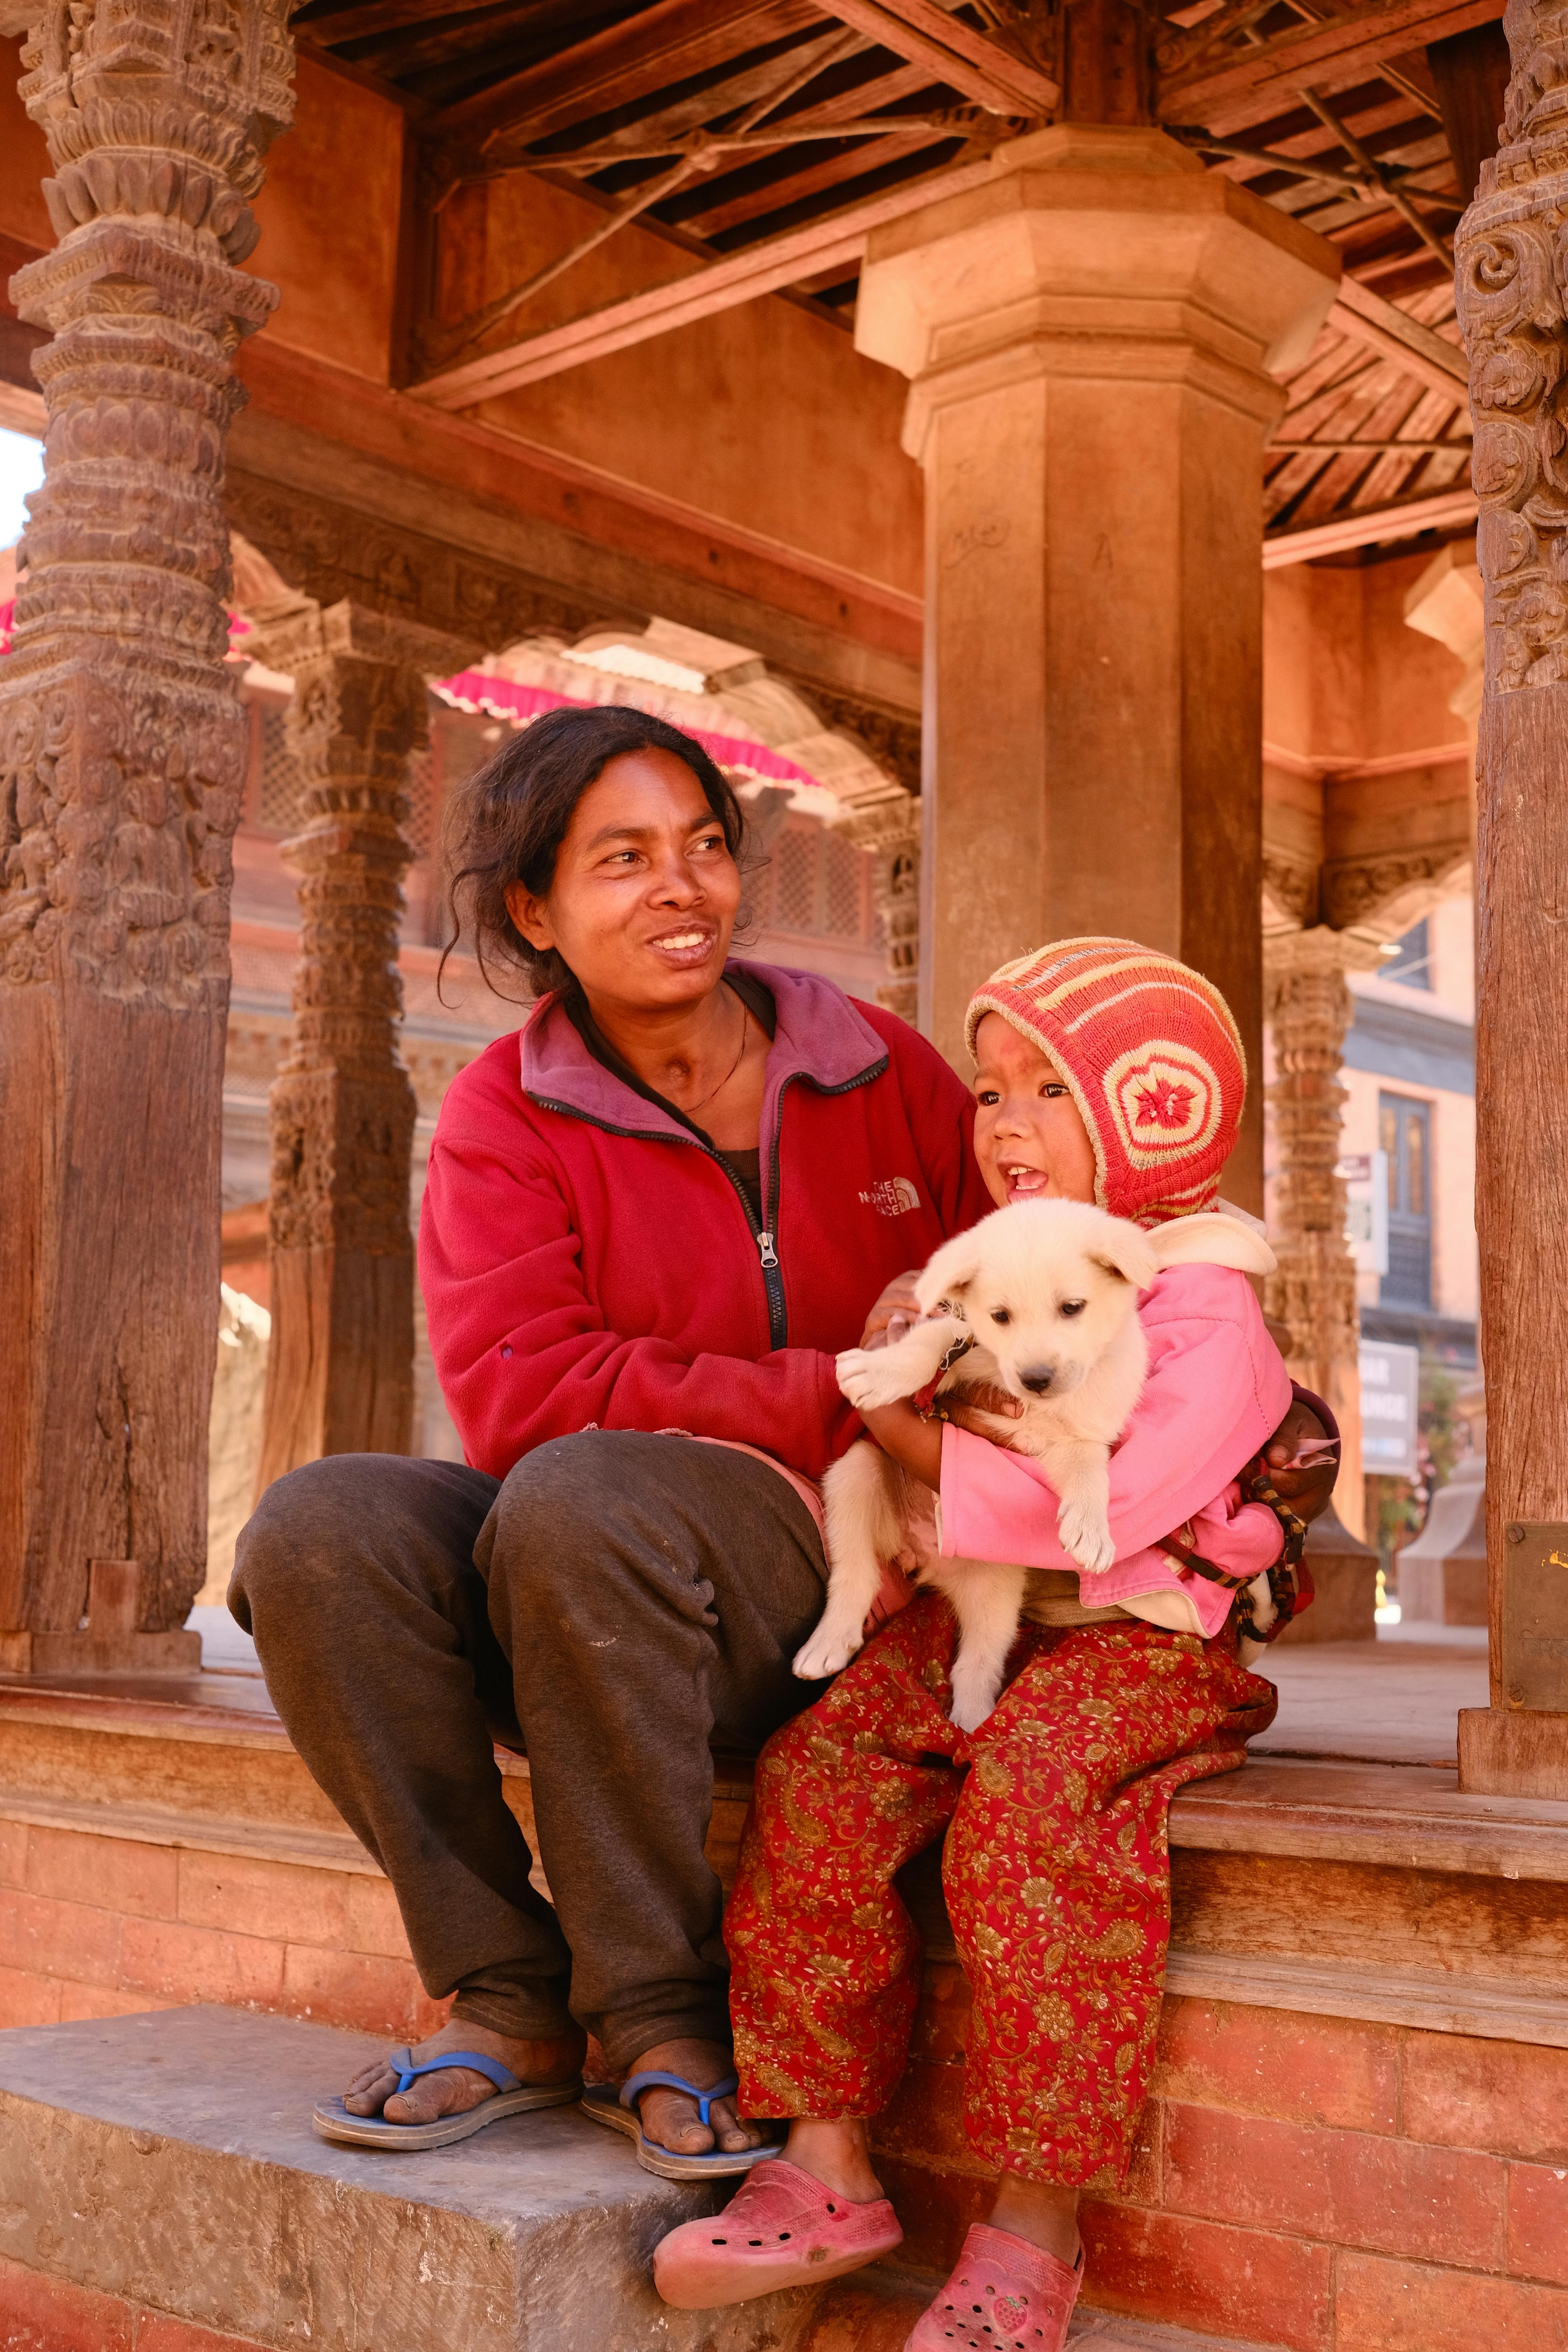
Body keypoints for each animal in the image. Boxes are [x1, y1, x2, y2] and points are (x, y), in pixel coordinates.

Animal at [799, 1204, 1279, 1740]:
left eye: (1071, 1308)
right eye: (999, 1316)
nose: (1034, 1379)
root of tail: (925, 1557)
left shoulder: (1080, 1438)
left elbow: (1091, 1470)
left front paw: (1091, 1528)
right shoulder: (966, 1342)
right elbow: (933, 1340)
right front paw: (879, 1372)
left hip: (996, 1586)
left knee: (975, 1663)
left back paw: (971, 1724)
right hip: (856, 1473)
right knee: (853, 1577)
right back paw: (827, 1644)